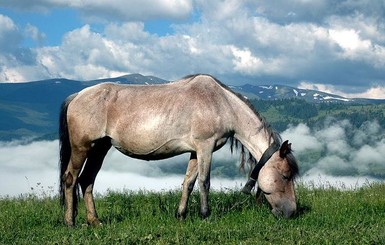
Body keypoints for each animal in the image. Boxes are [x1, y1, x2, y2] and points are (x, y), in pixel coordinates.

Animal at [59, 73, 300, 227]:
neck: (222, 104)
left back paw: (95, 221)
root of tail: (76, 96)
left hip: (100, 147)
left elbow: (188, 183)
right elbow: (204, 182)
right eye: (285, 175)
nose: (292, 212)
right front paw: (205, 214)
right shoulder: (205, 147)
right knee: (70, 179)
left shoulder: (195, 152)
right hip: (82, 147)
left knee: (87, 180)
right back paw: (70, 222)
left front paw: (181, 214)